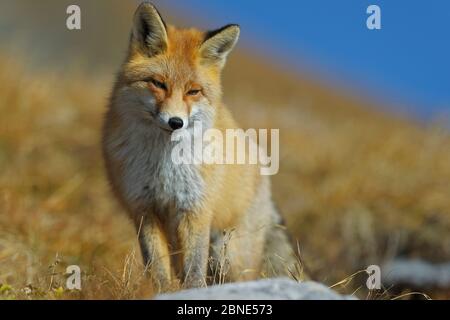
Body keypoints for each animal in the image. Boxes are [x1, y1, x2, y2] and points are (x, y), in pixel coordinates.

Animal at [100, 1, 300, 290]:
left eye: (193, 91)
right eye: (158, 84)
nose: (175, 122)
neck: (163, 165)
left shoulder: (195, 210)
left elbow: (194, 271)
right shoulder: (145, 209)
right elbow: (157, 269)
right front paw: (162, 292)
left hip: (228, 255)